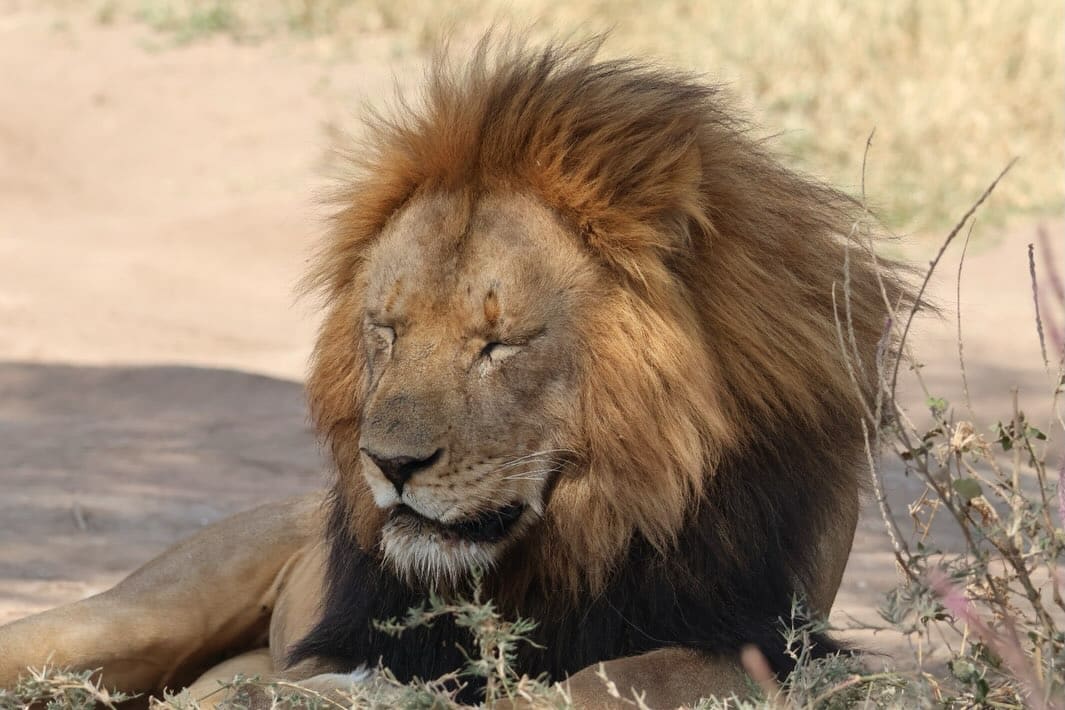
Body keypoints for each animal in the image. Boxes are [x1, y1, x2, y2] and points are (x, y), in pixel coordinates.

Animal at [0, 39, 911, 708]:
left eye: (499, 343)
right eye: (386, 330)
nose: (389, 465)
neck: (597, 517)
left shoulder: (765, 639)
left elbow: (613, 676)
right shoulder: (363, 641)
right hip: (132, 614)